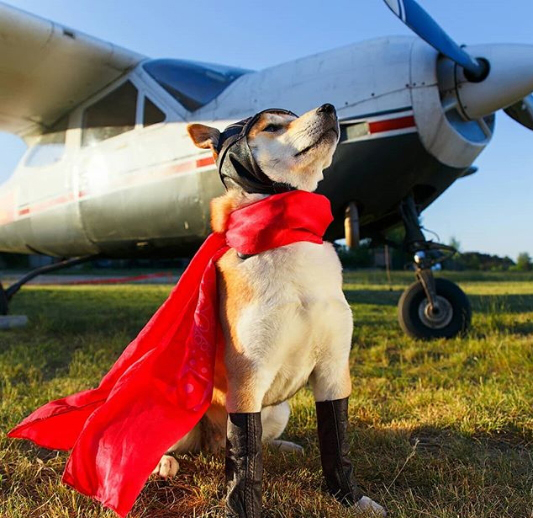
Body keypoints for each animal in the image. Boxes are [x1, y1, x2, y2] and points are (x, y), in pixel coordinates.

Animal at [152, 104, 386, 517]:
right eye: (273, 126)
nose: (329, 108)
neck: (286, 233)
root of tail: (208, 442)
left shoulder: (333, 370)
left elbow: (336, 443)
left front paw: (351, 498)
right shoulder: (248, 377)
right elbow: (245, 465)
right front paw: (241, 507)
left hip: (278, 410)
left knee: (247, 443)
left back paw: (283, 446)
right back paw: (164, 462)